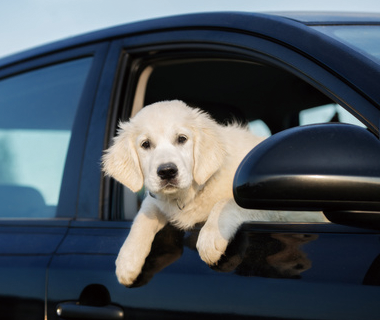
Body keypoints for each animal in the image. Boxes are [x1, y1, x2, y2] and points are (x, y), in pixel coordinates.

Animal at [103, 99, 326, 284]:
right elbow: (143, 217)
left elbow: (226, 202)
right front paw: (127, 261)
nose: (167, 171)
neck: (194, 190)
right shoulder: (157, 199)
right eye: (145, 144)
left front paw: (210, 238)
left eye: (182, 139)